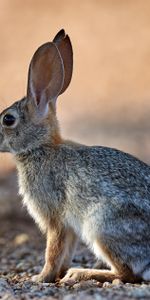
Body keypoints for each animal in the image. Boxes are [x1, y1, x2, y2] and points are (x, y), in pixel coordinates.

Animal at [0, 28, 150, 286]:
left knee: (128, 274)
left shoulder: (55, 217)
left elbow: (52, 250)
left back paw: (81, 273)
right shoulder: (68, 227)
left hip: (102, 226)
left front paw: (40, 278)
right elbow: (64, 251)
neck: (40, 148)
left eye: (8, 120)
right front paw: (55, 274)